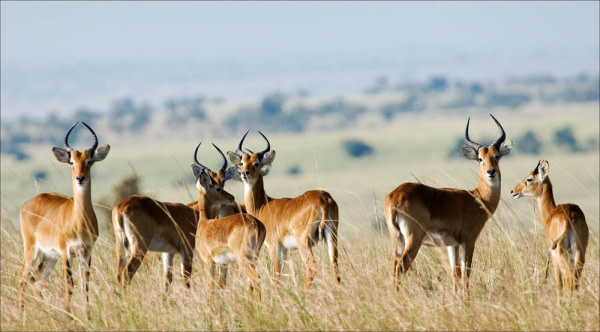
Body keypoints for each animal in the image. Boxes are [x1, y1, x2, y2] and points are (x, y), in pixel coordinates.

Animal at [18, 120, 110, 318]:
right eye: (72, 162)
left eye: (89, 161)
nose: (80, 178)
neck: (78, 221)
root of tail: (27, 204)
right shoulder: (66, 252)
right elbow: (70, 284)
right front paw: (69, 317)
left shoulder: (86, 252)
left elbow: (85, 285)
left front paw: (88, 317)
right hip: (32, 250)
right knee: (22, 278)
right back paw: (22, 315)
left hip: (49, 257)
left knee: (36, 280)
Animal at [193, 142, 266, 296]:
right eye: (218, 187)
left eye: (222, 184)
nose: (231, 197)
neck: (205, 222)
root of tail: (255, 223)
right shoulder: (223, 264)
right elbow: (221, 285)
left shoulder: (209, 262)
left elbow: (211, 288)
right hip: (254, 256)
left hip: (243, 258)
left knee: (256, 277)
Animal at [227, 131, 340, 290]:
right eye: (242, 162)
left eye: (256, 163)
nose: (245, 173)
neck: (263, 206)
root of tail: (324, 198)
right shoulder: (285, 250)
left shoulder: (274, 246)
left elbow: (276, 275)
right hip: (332, 235)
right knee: (335, 266)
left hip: (303, 242)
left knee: (312, 267)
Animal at [384, 114, 510, 290]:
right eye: (480, 158)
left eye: (496, 156)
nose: (490, 172)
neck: (477, 198)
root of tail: (395, 196)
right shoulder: (468, 240)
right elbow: (466, 274)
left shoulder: (452, 244)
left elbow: (455, 274)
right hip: (413, 239)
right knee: (400, 269)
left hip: (396, 239)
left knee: (394, 267)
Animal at [510, 160, 592, 300]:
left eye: (529, 179)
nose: (513, 191)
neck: (551, 213)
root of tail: (569, 215)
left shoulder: (553, 259)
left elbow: (559, 284)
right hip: (579, 253)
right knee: (575, 279)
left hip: (560, 254)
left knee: (569, 279)